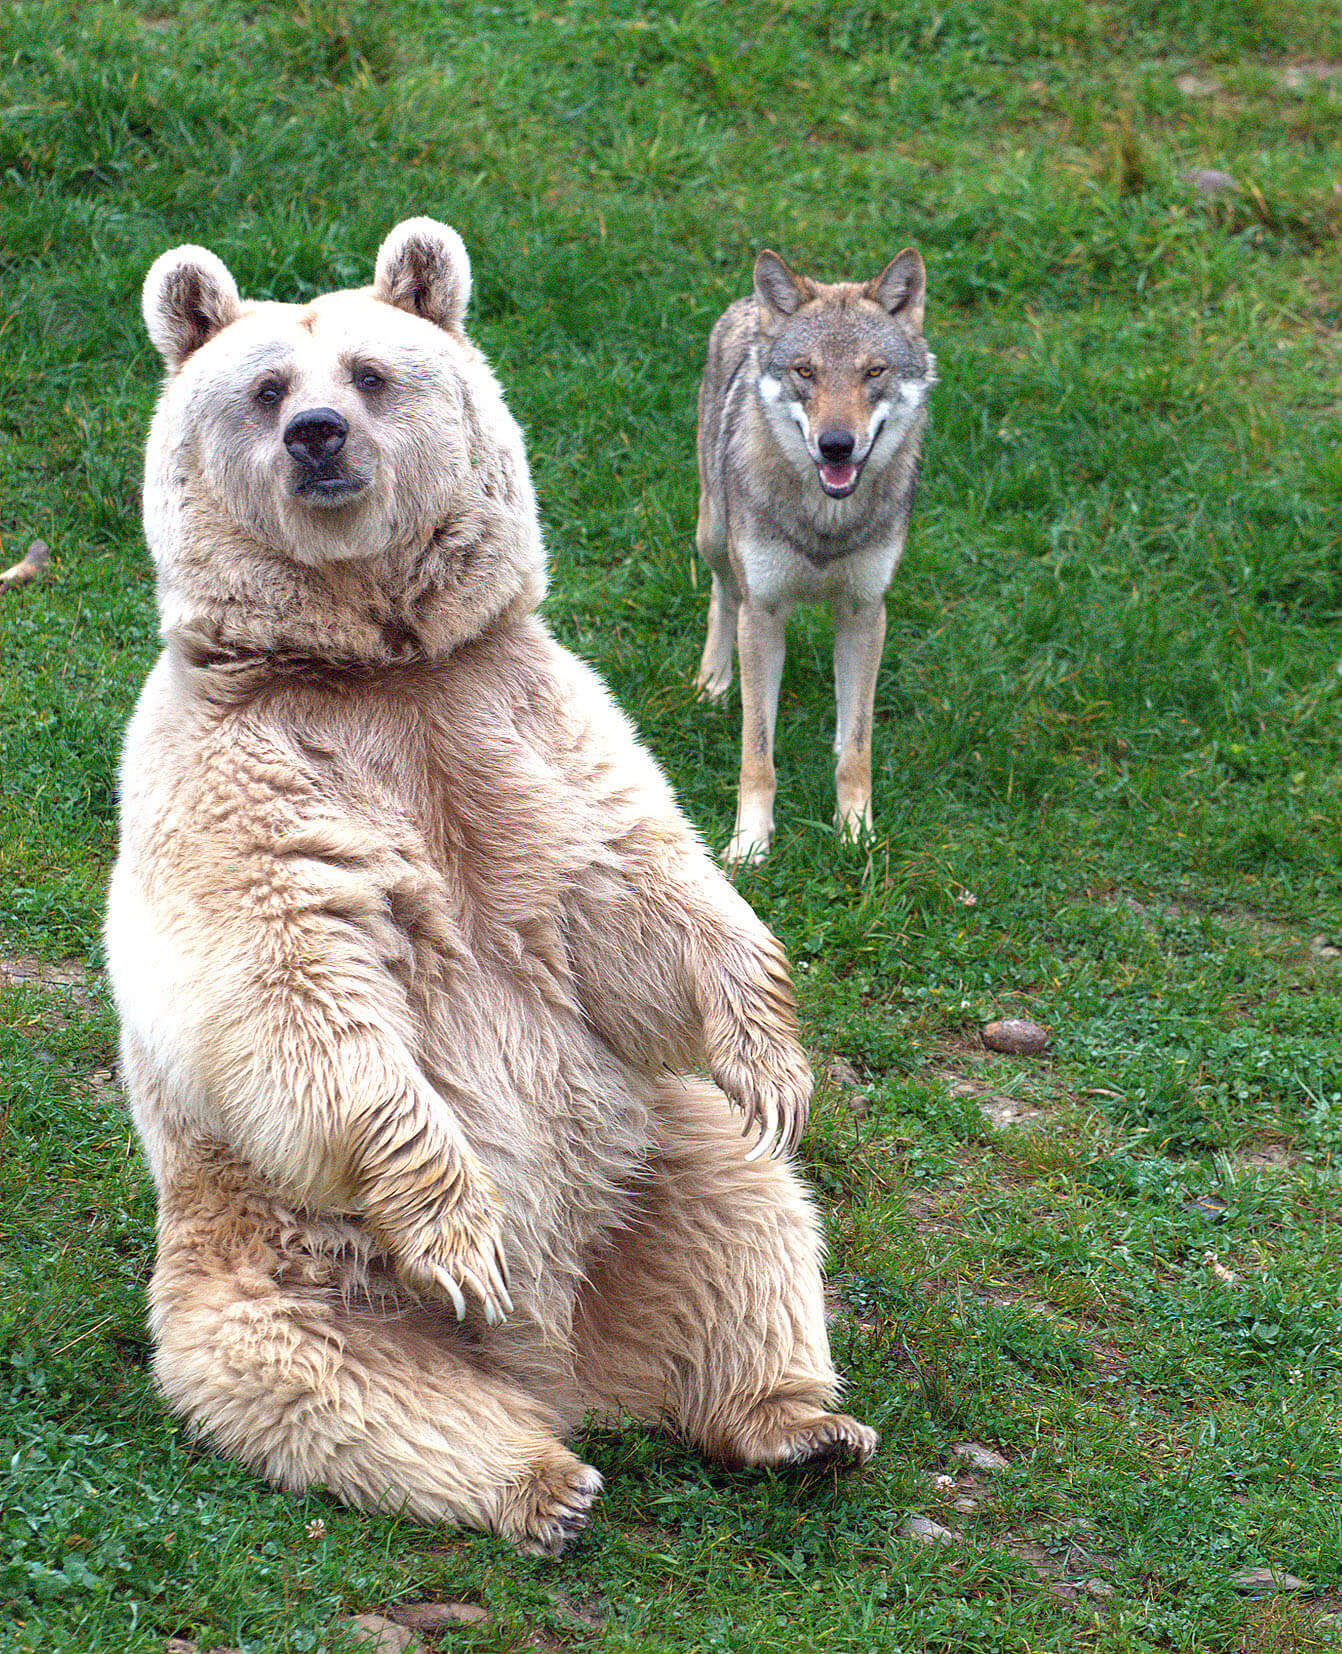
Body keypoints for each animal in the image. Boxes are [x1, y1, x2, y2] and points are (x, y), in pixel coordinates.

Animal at [107, 216, 880, 1548]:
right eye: (265, 387)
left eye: (369, 373)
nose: (318, 436)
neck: (374, 665)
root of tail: (563, 1362)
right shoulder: (236, 780)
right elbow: (295, 992)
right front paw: (462, 1225)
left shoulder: (518, 725)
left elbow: (637, 894)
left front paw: (775, 1064)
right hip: (276, 1259)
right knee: (328, 1383)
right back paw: (542, 1480)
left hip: (651, 1161)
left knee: (753, 1228)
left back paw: (801, 1423)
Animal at [691, 248, 933, 866]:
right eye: (806, 372)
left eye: (873, 372)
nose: (836, 446)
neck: (827, 520)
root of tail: (749, 303)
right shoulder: (763, 613)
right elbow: (757, 753)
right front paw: (750, 842)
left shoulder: (866, 612)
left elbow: (859, 746)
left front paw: (857, 832)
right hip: (714, 536)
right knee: (721, 594)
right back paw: (712, 684)